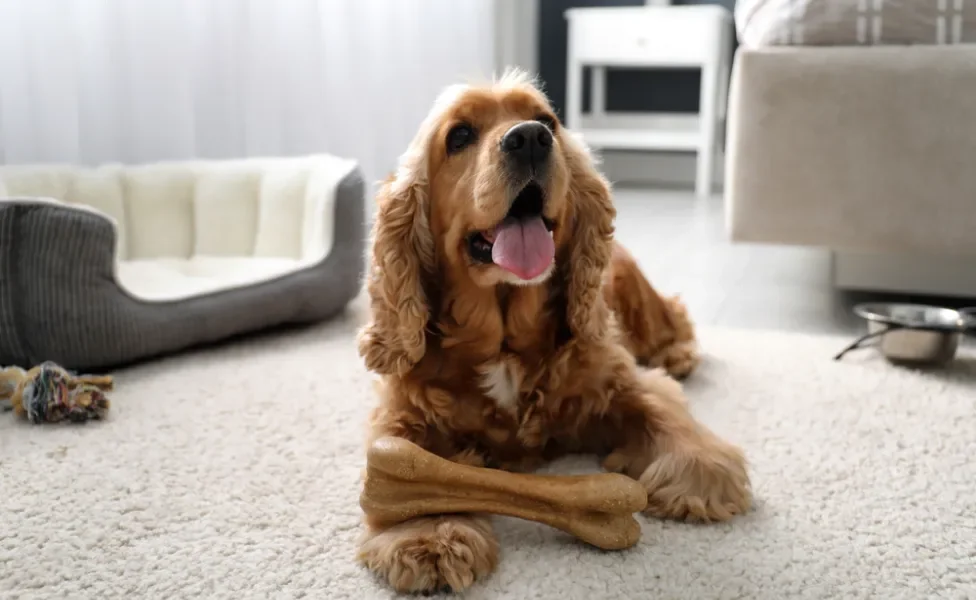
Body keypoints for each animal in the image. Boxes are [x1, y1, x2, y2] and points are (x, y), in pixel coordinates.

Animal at [354, 69, 752, 592]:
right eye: (459, 135)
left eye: (548, 122)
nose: (529, 138)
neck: (503, 340)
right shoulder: (403, 409)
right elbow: (410, 465)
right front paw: (426, 531)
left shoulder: (618, 379)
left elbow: (662, 409)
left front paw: (702, 469)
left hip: (637, 292)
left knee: (672, 315)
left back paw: (679, 354)